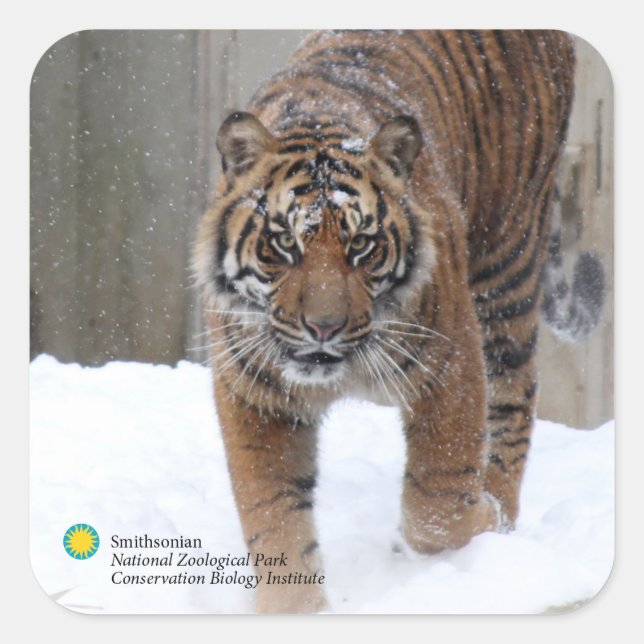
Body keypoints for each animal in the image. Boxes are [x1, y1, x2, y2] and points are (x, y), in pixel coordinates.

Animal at [193, 29, 604, 613]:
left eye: (361, 246)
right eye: (285, 244)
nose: (323, 327)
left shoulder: (451, 364)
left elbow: (438, 501)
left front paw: (477, 516)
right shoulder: (255, 394)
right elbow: (273, 518)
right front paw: (295, 610)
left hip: (507, 264)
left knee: (515, 397)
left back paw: (500, 515)